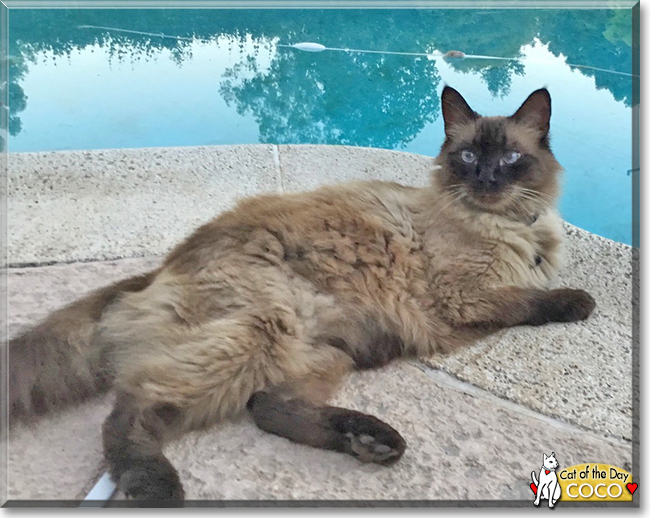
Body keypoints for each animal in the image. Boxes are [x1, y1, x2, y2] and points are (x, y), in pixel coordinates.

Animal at [7, 86, 596, 504]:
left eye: (511, 159)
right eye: (470, 157)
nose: (489, 180)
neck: (510, 224)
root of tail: (160, 267)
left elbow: (526, 296)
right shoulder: (465, 297)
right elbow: (529, 301)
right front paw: (579, 302)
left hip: (323, 350)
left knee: (266, 406)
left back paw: (372, 442)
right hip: (262, 331)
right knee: (132, 410)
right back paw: (157, 489)